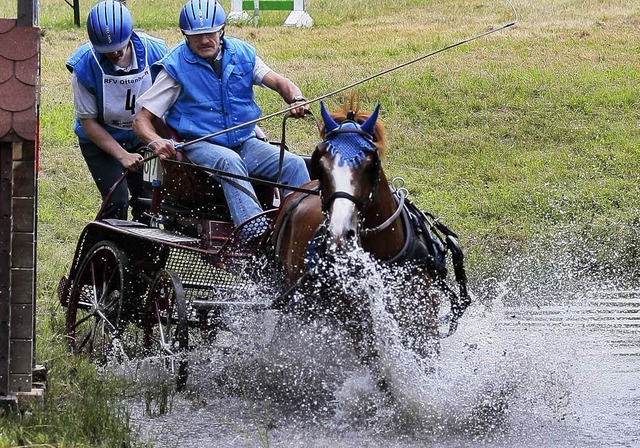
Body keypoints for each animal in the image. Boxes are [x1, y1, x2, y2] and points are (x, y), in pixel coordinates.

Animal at [270, 100, 450, 372]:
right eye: (320, 166)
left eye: (370, 164)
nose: (340, 232)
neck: (384, 258)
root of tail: (296, 196)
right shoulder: (360, 330)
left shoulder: (422, 321)